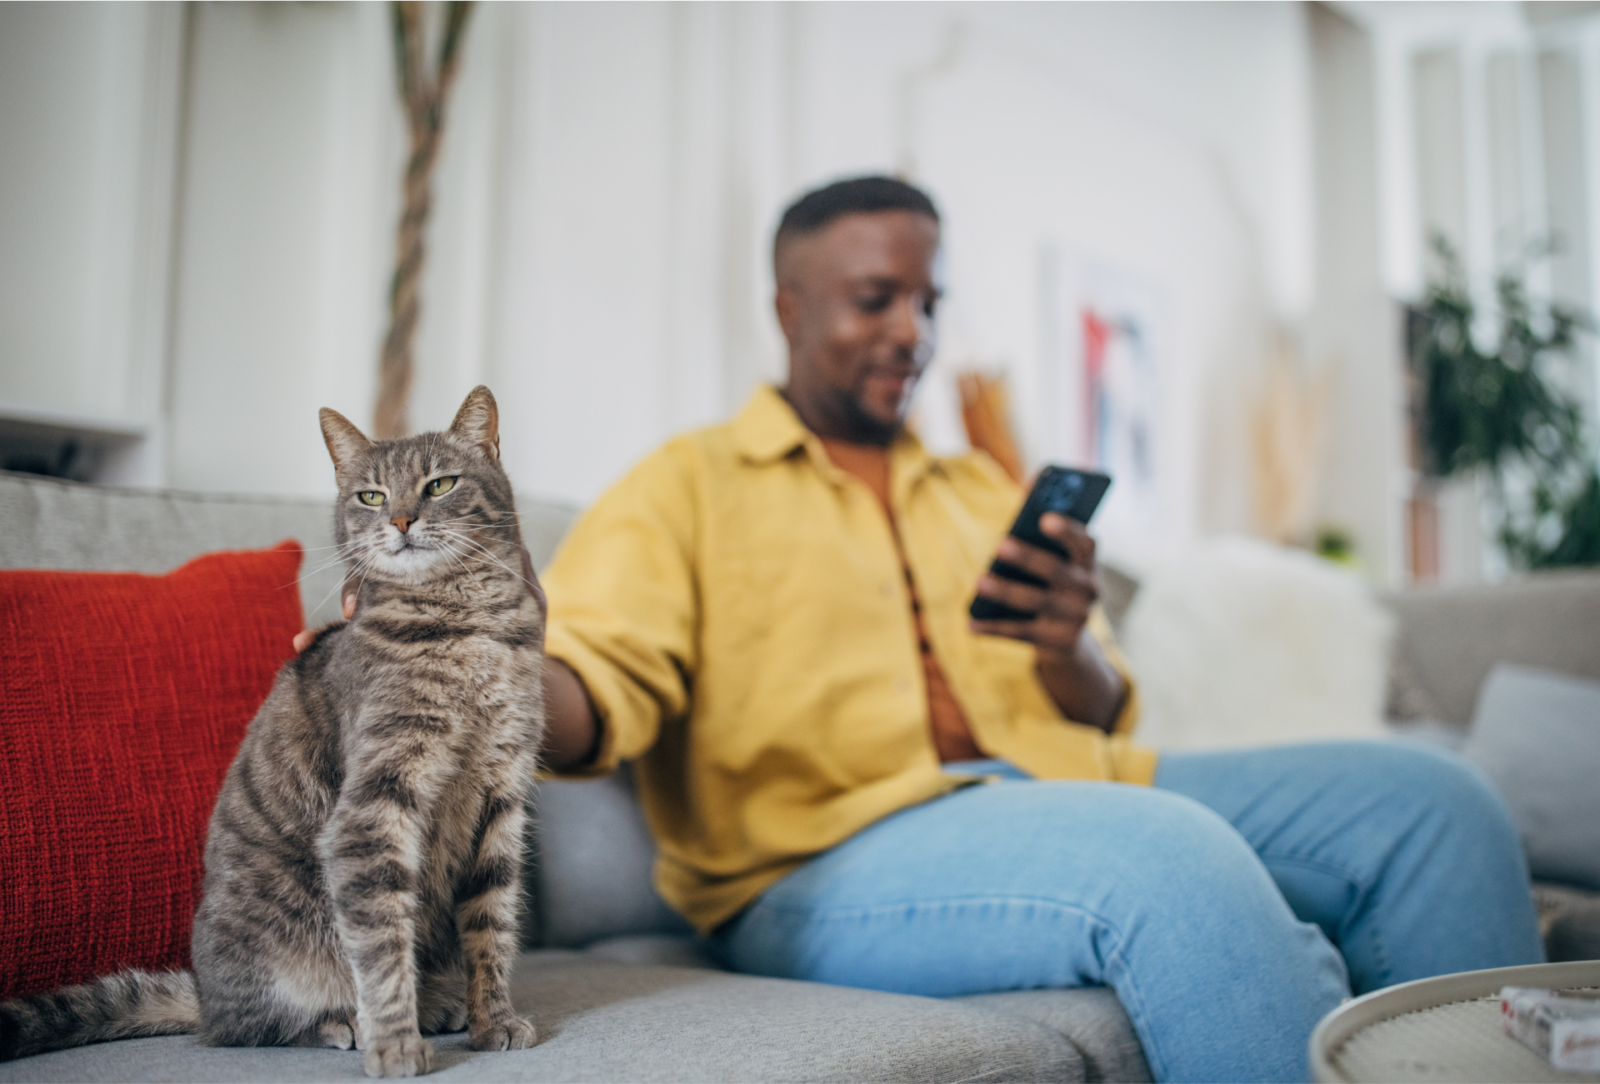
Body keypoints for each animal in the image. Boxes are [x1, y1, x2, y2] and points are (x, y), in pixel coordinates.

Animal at [0, 383, 547, 1080]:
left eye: (440, 484)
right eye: (371, 496)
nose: (401, 521)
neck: (468, 624)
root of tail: (202, 994)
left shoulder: (501, 799)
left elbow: (491, 927)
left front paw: (493, 1019)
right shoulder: (375, 804)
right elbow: (382, 944)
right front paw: (395, 1043)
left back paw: (441, 1004)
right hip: (281, 952)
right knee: (250, 1027)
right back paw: (346, 1023)